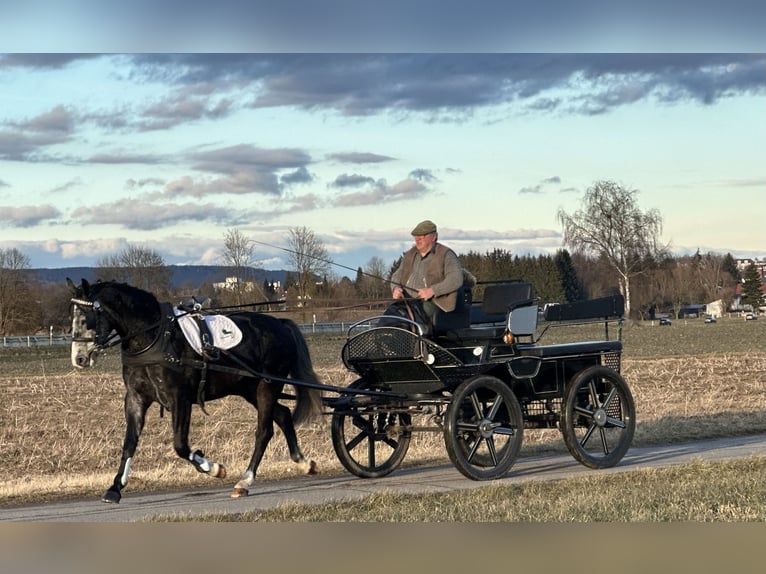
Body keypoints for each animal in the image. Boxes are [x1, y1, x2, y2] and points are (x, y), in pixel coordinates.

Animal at [69, 280, 324, 504]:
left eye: (86, 316)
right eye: (72, 316)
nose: (78, 358)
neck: (154, 337)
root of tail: (280, 324)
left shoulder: (180, 398)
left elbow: (180, 445)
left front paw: (212, 468)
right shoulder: (135, 398)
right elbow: (130, 442)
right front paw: (115, 488)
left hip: (267, 386)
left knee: (264, 431)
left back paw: (245, 480)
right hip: (249, 388)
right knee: (282, 415)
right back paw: (303, 463)